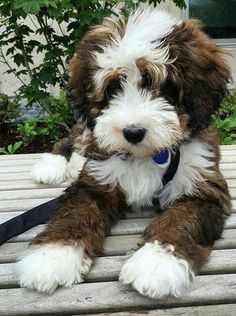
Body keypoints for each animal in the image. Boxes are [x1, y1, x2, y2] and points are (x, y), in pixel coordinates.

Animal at [15, 3, 231, 298]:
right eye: (112, 88)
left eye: (162, 86)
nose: (132, 132)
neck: (148, 155)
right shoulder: (95, 183)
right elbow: (75, 212)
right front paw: (52, 255)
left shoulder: (203, 188)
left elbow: (182, 221)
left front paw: (156, 263)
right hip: (90, 133)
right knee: (74, 137)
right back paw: (54, 166)